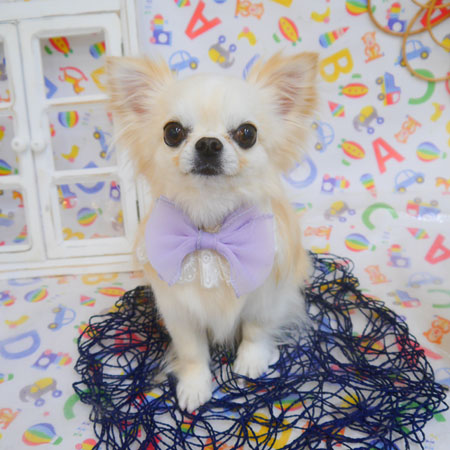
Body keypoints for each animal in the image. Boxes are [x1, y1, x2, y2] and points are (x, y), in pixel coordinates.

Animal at [106, 52, 318, 413]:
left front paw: (251, 362)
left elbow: (256, 329)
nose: (208, 143)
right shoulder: (179, 312)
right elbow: (192, 353)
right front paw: (195, 386)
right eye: (173, 132)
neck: (212, 225)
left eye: (247, 133)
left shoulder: (267, 296)